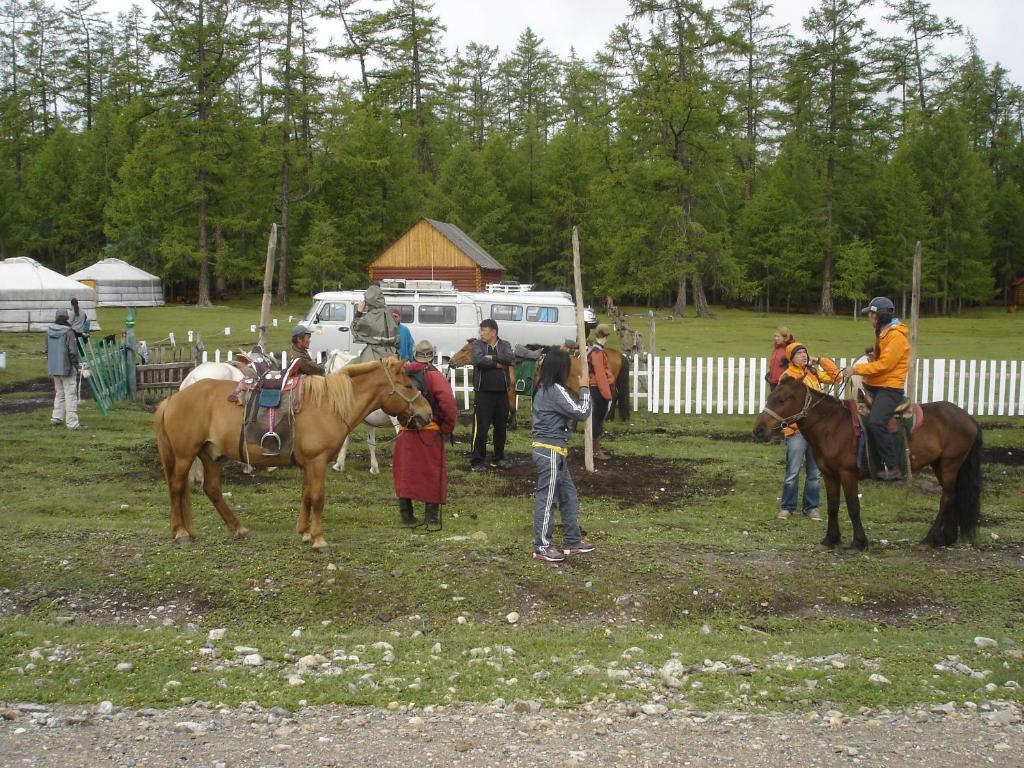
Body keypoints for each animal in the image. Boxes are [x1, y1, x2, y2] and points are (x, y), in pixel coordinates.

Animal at [153, 360, 434, 552]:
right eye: (408, 385)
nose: (427, 413)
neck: (327, 405)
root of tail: (173, 398)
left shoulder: (309, 464)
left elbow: (306, 495)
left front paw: (305, 532)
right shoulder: (317, 461)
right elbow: (318, 498)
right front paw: (318, 539)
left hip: (212, 455)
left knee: (211, 490)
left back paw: (238, 528)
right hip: (185, 455)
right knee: (176, 487)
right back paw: (181, 532)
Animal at [753, 376, 983, 548]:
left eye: (782, 399)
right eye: (770, 396)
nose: (759, 430)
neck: (832, 425)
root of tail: (968, 418)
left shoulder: (848, 474)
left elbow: (853, 507)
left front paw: (859, 542)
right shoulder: (829, 474)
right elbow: (833, 506)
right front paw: (831, 539)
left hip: (950, 464)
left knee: (946, 499)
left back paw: (930, 538)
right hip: (941, 465)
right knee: (953, 496)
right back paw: (946, 538)